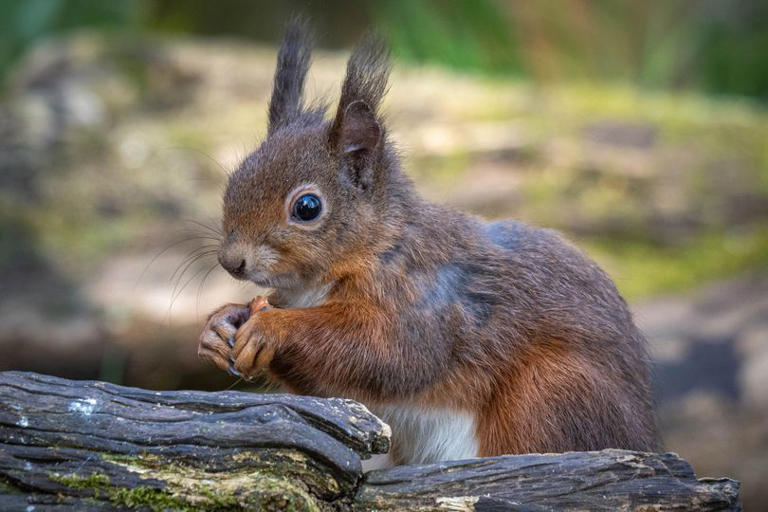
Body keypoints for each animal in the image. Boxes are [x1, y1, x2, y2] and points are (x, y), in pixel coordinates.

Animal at [198, 20, 659, 466]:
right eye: (235, 177)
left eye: (307, 207)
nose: (231, 261)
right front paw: (221, 323)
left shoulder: (425, 299)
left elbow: (389, 354)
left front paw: (273, 326)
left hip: (550, 391)